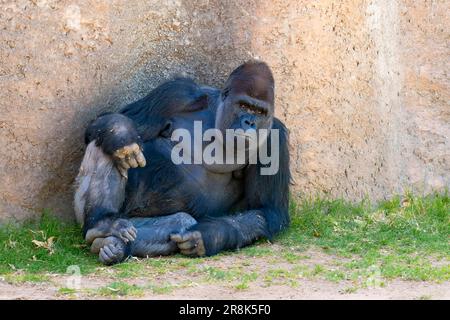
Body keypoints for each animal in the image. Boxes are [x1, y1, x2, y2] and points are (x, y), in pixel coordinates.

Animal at [74, 60, 290, 264]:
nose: (249, 122)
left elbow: (267, 209)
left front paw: (210, 236)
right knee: (107, 146)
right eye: (243, 105)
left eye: (260, 112)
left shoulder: (274, 139)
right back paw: (103, 223)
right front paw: (120, 134)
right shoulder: (176, 94)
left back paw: (115, 246)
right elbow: (115, 120)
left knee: (180, 221)